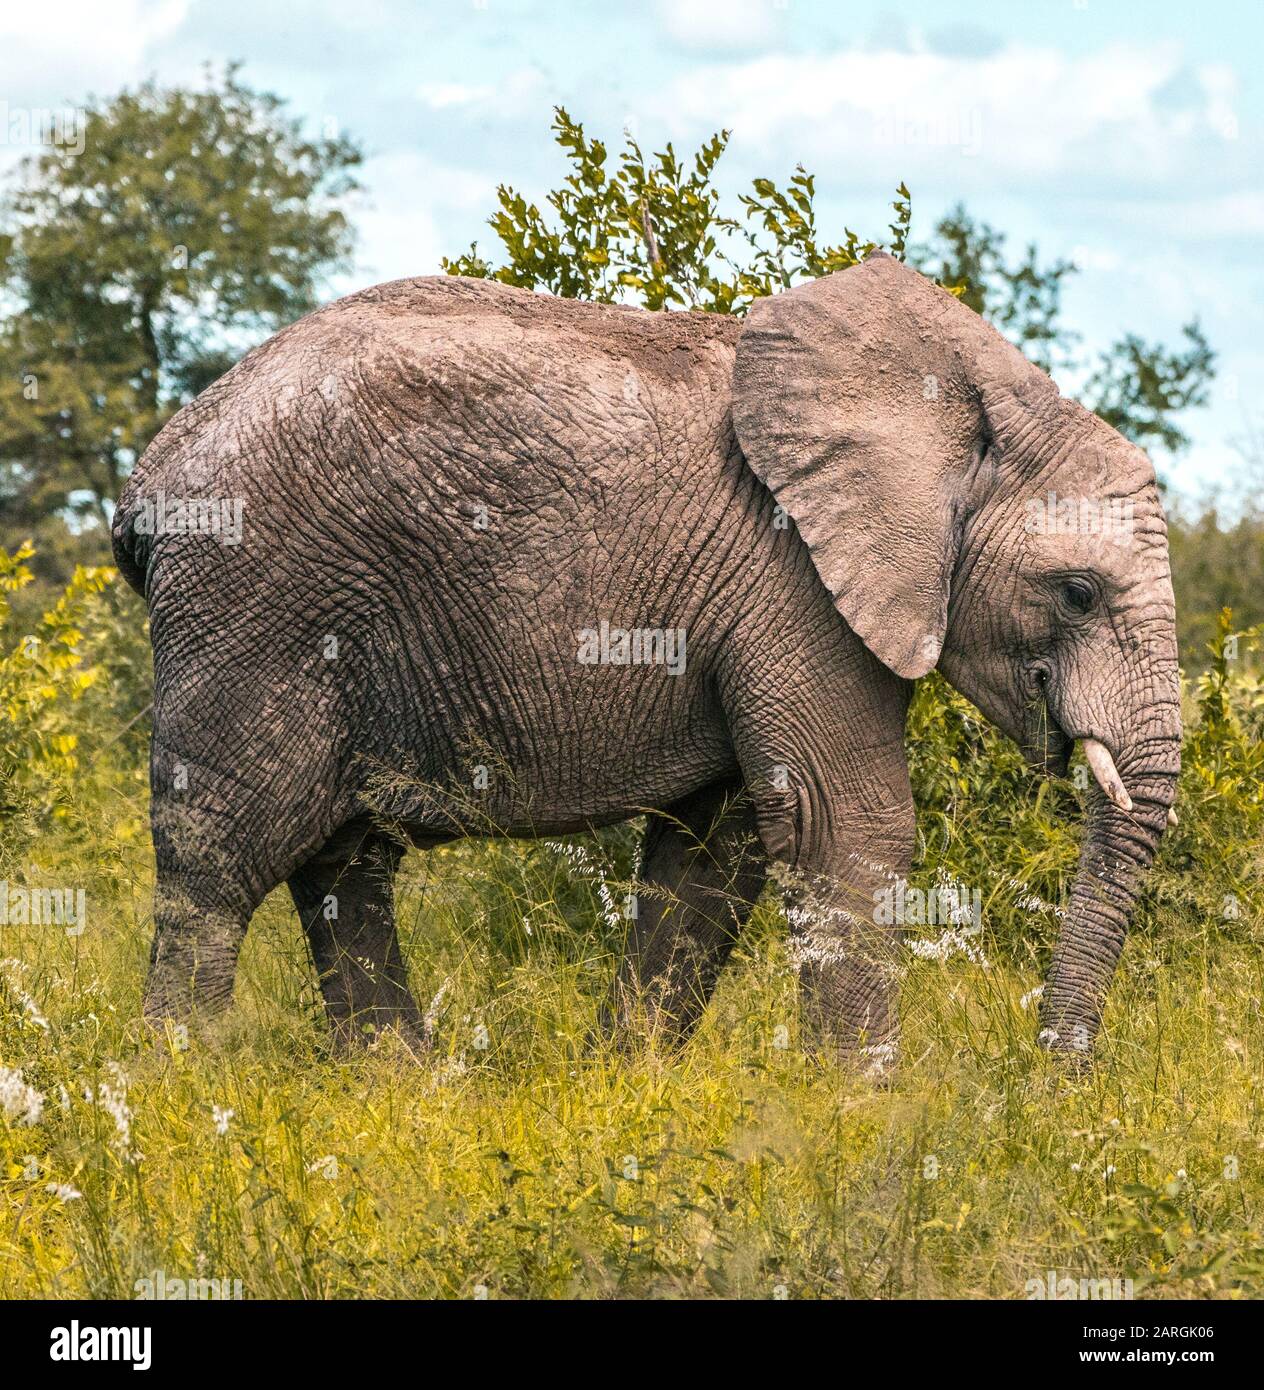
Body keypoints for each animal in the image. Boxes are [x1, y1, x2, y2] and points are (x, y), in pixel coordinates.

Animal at [113, 255, 1179, 1061]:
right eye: (1078, 594)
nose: (1052, 1080)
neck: (967, 408)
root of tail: (149, 473)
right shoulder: (794, 582)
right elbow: (844, 828)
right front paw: (866, 1106)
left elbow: (713, 853)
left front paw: (625, 1086)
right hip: (260, 599)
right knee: (220, 862)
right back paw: (183, 1089)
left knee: (344, 861)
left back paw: (399, 1088)